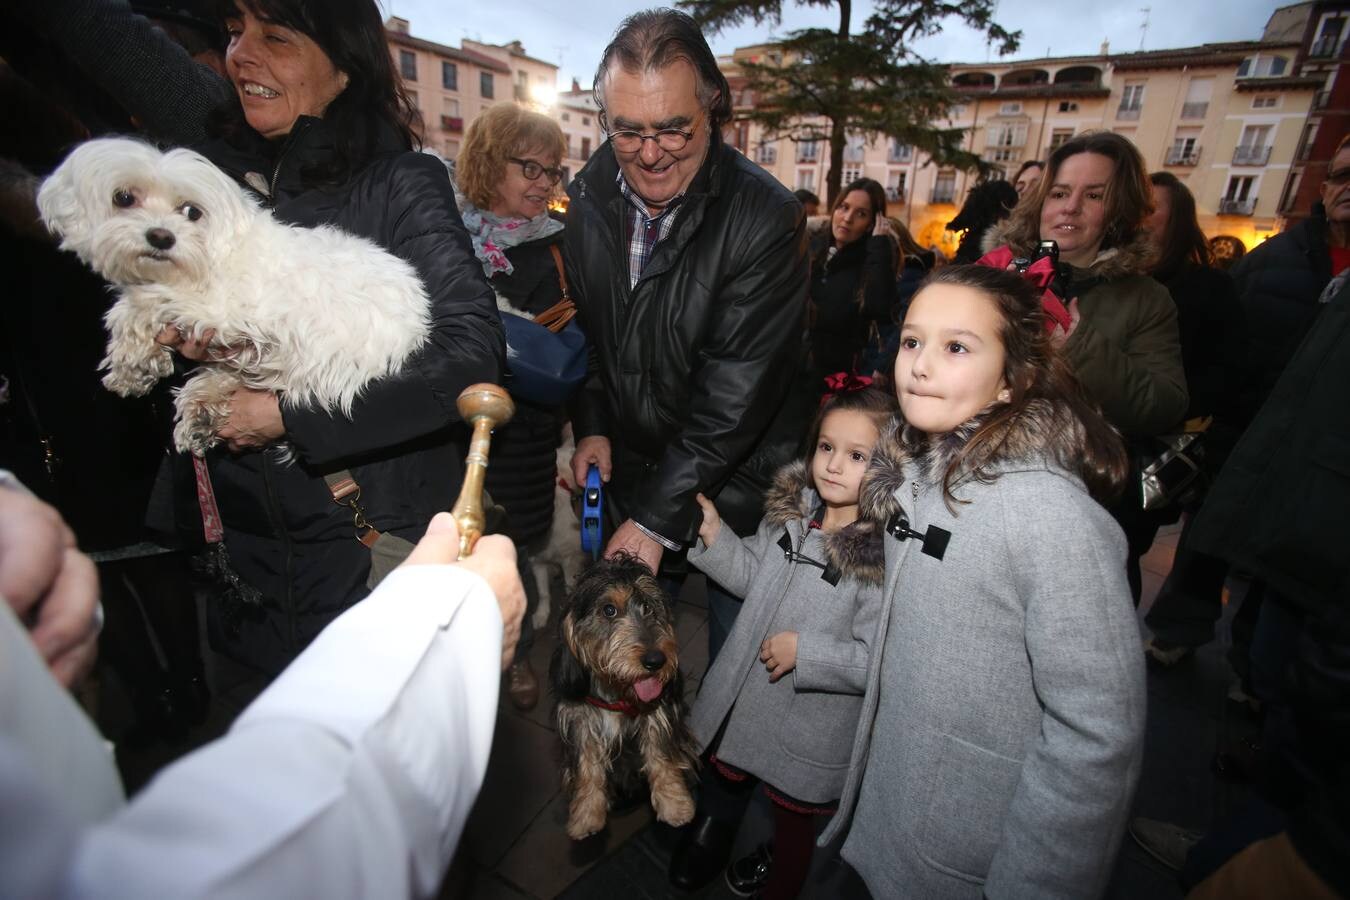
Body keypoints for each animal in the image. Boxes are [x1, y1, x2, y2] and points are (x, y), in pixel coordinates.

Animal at [36, 138, 429, 458]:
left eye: (192, 211)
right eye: (124, 198)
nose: (161, 237)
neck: (211, 254)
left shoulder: (222, 311)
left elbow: (137, 307)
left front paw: (130, 361)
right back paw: (201, 412)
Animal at [548, 553, 696, 841]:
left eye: (649, 607)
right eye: (609, 610)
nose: (656, 661)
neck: (615, 691)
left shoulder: (658, 709)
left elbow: (661, 752)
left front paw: (673, 803)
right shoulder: (579, 718)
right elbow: (586, 763)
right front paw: (586, 813)